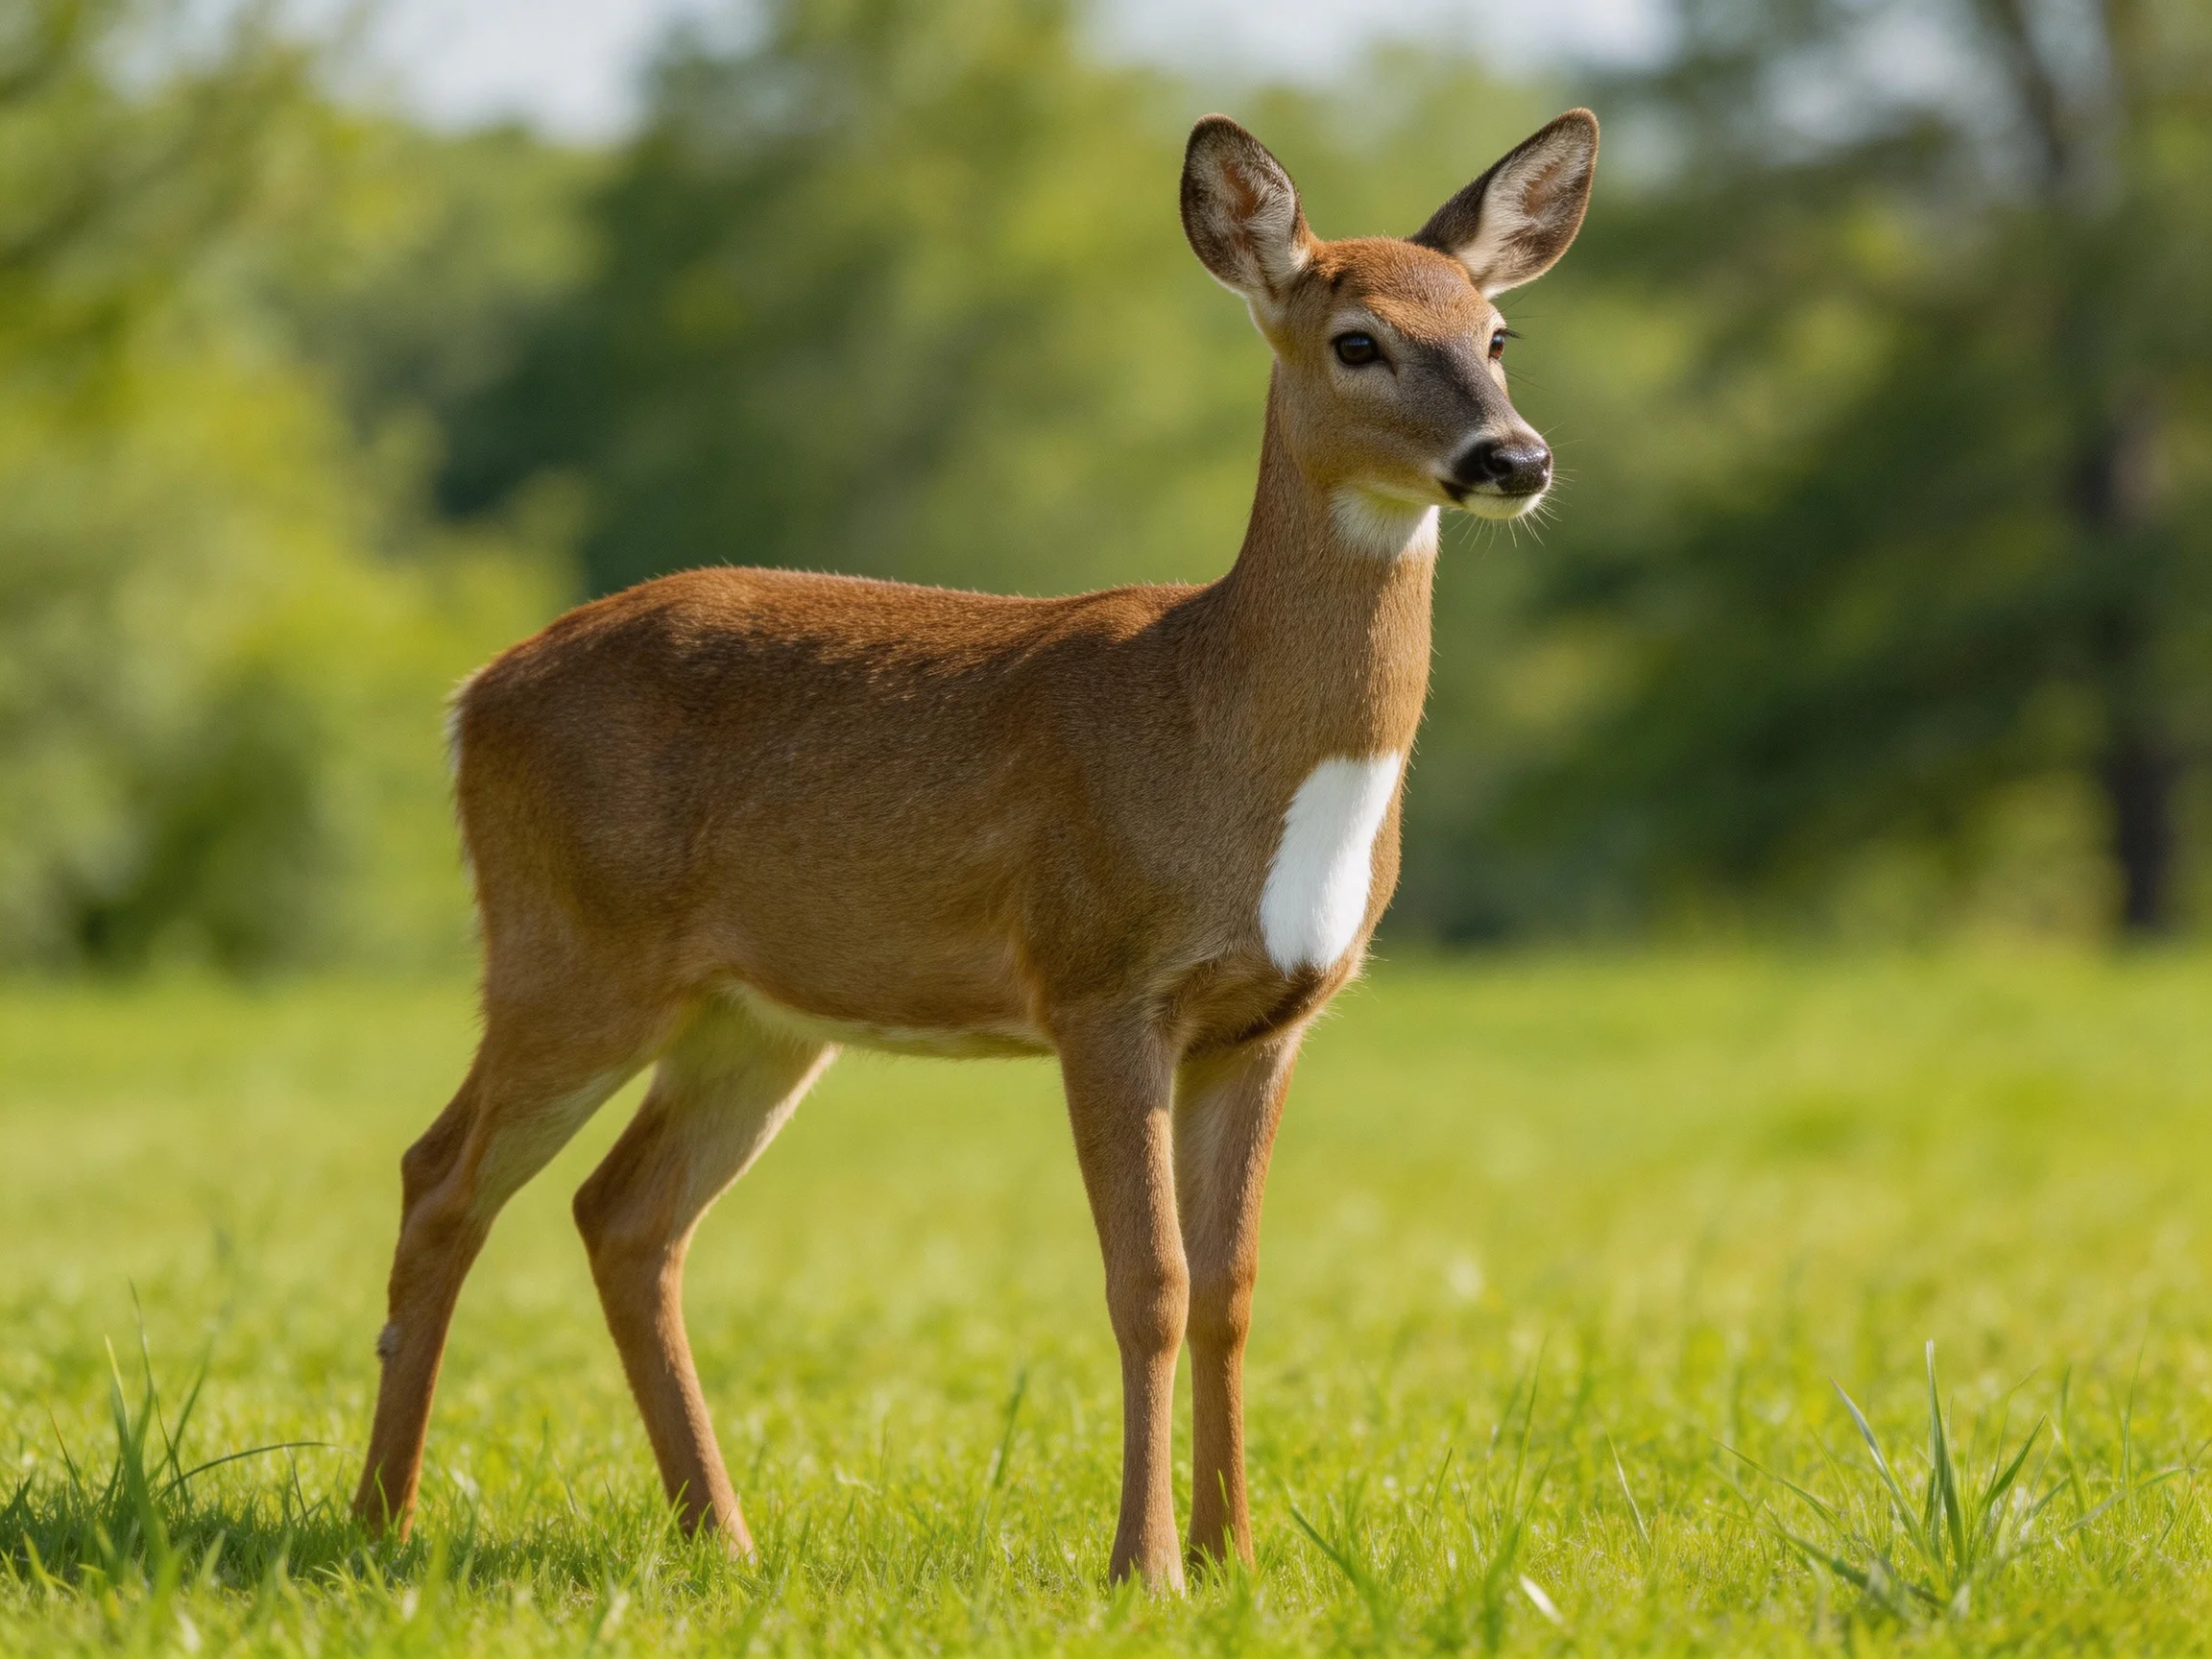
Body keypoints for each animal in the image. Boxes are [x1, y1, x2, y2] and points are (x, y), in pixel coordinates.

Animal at [351, 108, 1597, 1590]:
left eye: (1497, 331)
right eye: (1358, 340)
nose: (1515, 458)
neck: (1222, 727)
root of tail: (470, 698)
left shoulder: (1273, 1019)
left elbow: (1235, 1289)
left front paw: (1238, 1557)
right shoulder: (1100, 977)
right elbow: (1150, 1284)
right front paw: (1147, 1567)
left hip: (753, 1016)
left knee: (624, 1216)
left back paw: (722, 1535)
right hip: (569, 948)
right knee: (440, 1176)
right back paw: (382, 1517)